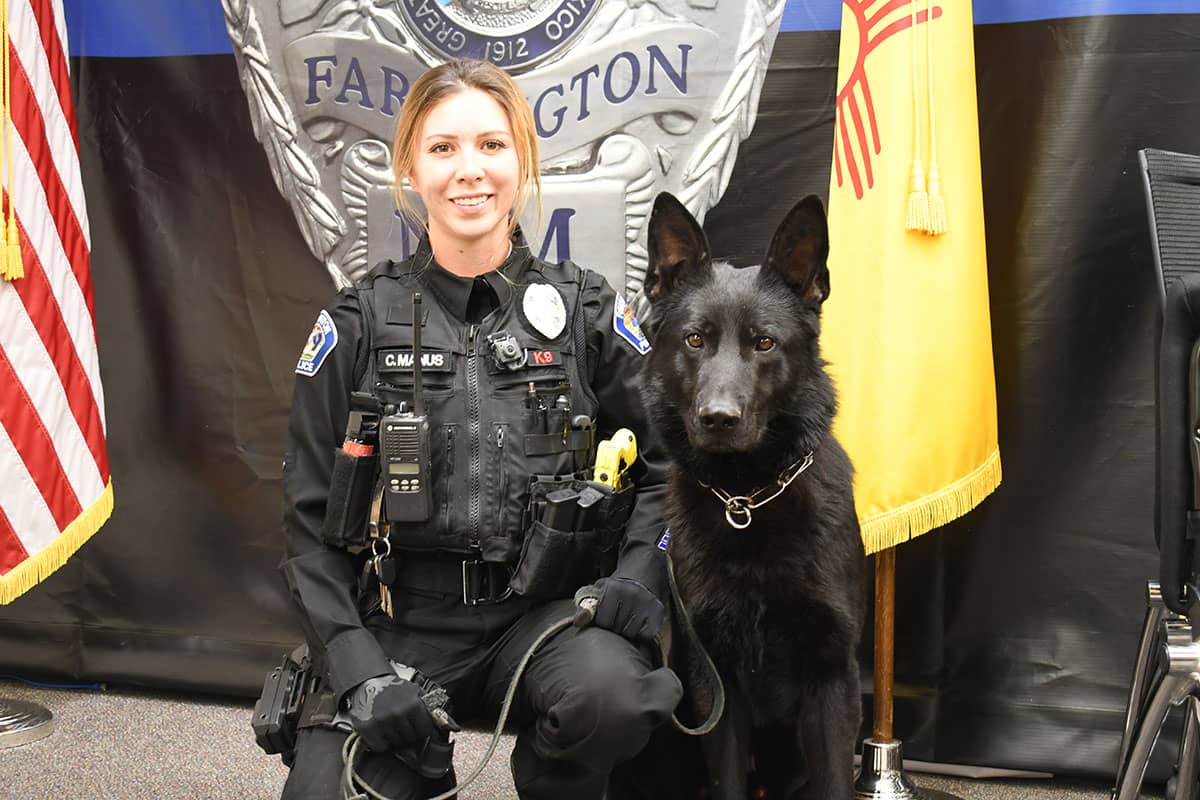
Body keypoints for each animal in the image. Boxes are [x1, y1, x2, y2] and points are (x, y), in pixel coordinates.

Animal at [638, 191, 864, 800]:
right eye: (695, 339)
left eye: (764, 342)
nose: (718, 419)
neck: (746, 498)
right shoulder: (714, 682)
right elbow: (728, 780)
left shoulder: (831, 674)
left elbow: (836, 780)